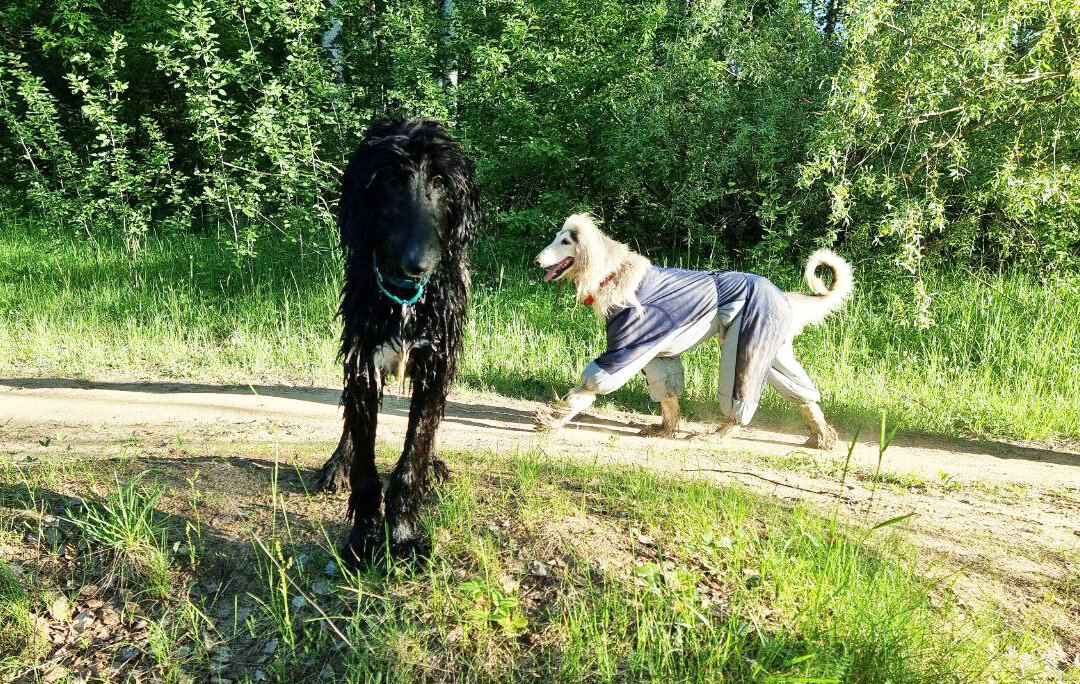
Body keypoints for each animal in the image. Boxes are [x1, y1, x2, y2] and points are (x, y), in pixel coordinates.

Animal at [315, 118, 479, 566]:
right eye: (388, 179)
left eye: (440, 181)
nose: (414, 264)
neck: (406, 300)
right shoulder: (362, 361)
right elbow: (365, 466)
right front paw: (364, 537)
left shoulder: (436, 364)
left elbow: (413, 457)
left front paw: (402, 535)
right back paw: (336, 464)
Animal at [531, 213, 851, 447]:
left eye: (565, 241)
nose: (536, 260)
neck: (612, 273)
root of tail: (782, 294)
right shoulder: (655, 349)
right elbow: (668, 393)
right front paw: (666, 428)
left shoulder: (628, 347)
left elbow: (589, 388)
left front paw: (554, 418)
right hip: (773, 347)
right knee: (802, 391)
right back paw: (822, 435)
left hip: (746, 342)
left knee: (740, 393)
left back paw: (720, 432)